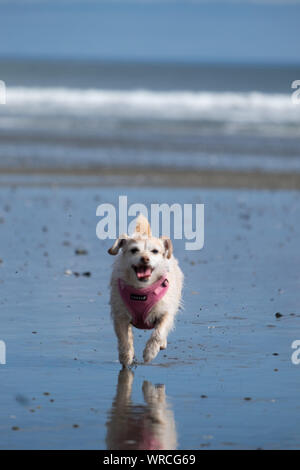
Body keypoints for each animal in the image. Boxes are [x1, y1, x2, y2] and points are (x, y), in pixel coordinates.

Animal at [108, 214, 183, 368]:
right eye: (134, 250)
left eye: (155, 251)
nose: (144, 258)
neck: (142, 290)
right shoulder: (120, 315)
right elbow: (124, 338)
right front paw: (126, 356)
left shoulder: (166, 311)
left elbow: (159, 333)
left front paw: (150, 352)